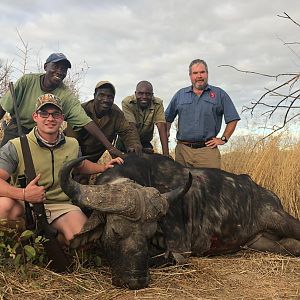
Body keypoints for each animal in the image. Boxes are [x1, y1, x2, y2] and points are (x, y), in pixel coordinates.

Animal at [59, 154, 300, 290]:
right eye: (116, 232)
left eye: (149, 235)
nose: (136, 282)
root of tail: (264, 193)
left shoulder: (180, 249)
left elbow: (165, 258)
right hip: (259, 242)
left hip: (280, 218)